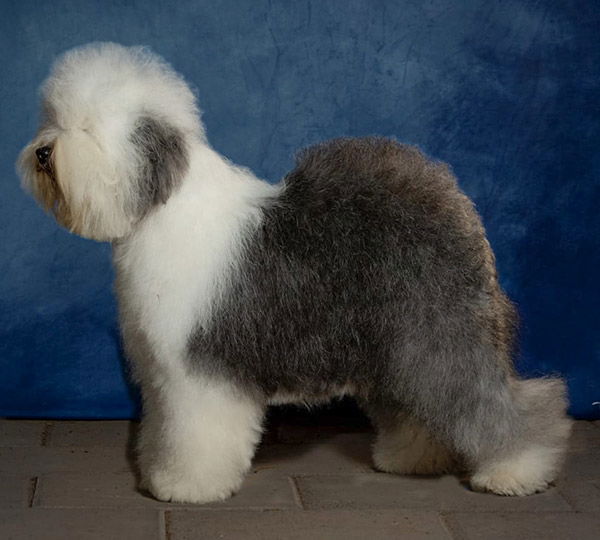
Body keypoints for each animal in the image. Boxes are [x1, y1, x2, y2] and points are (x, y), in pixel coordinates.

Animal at [18, 43, 572, 503]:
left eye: (89, 128)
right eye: (56, 118)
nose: (42, 152)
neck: (161, 207)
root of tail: (448, 198)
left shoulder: (200, 369)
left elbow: (197, 433)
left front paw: (186, 486)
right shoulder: (161, 372)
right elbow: (163, 428)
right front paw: (159, 471)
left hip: (441, 332)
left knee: (500, 403)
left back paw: (516, 470)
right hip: (398, 343)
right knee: (419, 405)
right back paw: (412, 457)